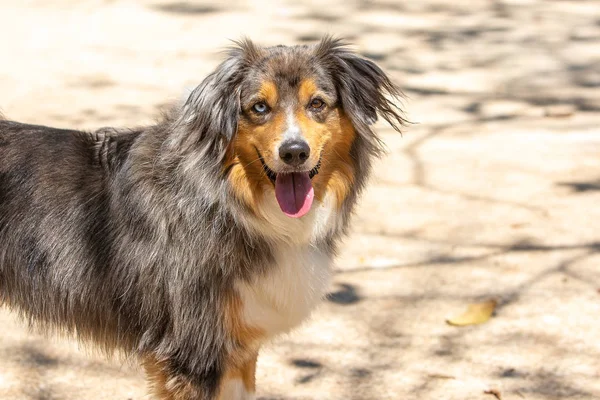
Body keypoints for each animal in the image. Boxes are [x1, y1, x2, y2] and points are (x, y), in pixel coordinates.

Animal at [0, 36, 406, 396]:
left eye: (318, 103)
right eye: (259, 107)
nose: (294, 152)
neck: (228, 200)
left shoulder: (238, 347)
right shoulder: (194, 350)